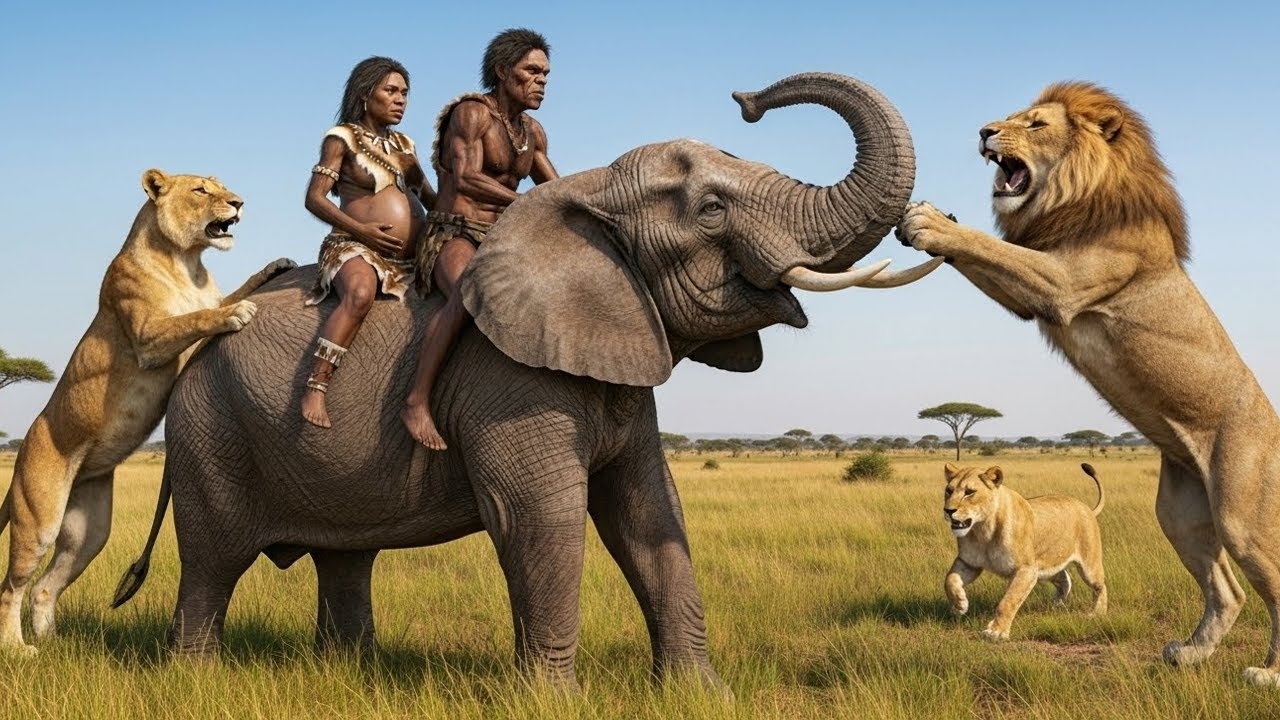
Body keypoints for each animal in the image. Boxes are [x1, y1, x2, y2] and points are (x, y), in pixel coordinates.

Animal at [0, 169, 295, 653]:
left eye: (220, 184)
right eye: (201, 190)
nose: (238, 202)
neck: (186, 262)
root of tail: (23, 452)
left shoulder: (195, 305)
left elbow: (220, 297)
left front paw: (274, 267)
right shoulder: (148, 337)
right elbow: (194, 319)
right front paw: (237, 313)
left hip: (90, 533)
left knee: (45, 587)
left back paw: (54, 642)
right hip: (39, 518)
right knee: (12, 587)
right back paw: (19, 649)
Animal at [116, 72, 940, 689]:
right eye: (710, 210)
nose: (746, 99)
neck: (591, 202)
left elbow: (649, 512)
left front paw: (704, 696)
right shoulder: (508, 377)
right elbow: (540, 518)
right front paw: (553, 701)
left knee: (345, 558)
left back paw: (351, 675)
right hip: (210, 430)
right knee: (213, 563)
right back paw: (196, 682)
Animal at [943, 462, 1106, 641]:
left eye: (969, 492)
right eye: (949, 490)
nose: (948, 510)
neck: (982, 530)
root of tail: (1087, 508)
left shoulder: (1026, 569)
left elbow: (1008, 601)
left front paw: (996, 632)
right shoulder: (969, 563)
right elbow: (949, 580)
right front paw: (960, 604)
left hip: (1088, 567)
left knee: (1100, 586)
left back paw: (1097, 613)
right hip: (1043, 567)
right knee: (1065, 578)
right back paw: (1057, 604)